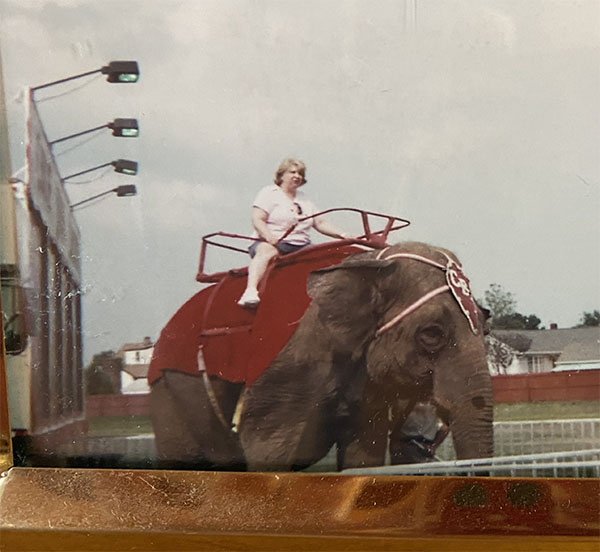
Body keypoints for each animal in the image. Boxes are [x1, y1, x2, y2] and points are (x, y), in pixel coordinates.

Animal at [149, 242, 492, 470]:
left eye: (485, 327)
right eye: (432, 334)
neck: (368, 262)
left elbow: (362, 458)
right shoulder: (284, 372)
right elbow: (270, 455)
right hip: (168, 390)